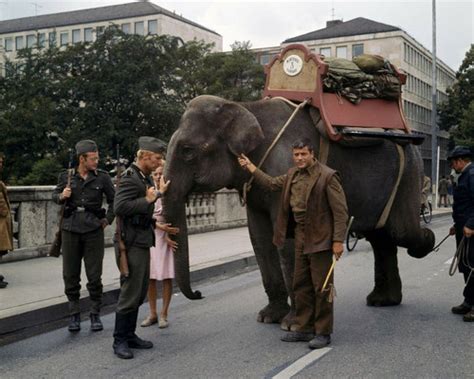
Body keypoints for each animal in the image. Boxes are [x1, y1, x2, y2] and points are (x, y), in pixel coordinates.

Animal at [162, 94, 434, 330]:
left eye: (187, 151)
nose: (199, 293)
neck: (244, 106)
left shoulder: (285, 165)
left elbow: (287, 237)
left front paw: (292, 325)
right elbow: (259, 238)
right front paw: (268, 318)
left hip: (410, 172)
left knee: (400, 231)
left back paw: (428, 240)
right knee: (381, 236)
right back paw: (382, 301)